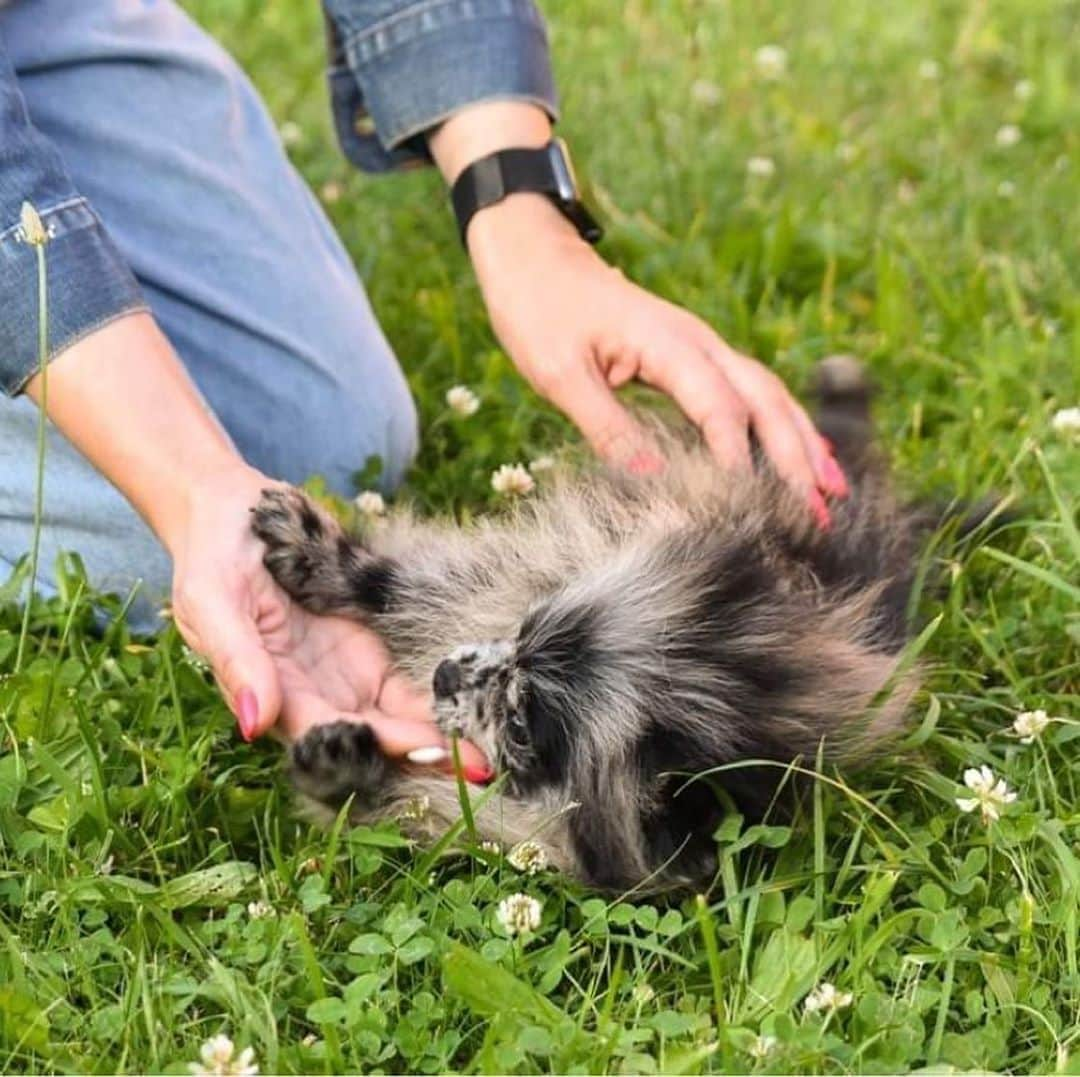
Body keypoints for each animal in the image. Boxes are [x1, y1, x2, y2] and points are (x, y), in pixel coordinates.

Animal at [254, 356, 937, 885]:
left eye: (521, 728)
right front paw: (320, 556)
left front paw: (345, 774)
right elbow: (405, 582)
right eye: (523, 628)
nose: (444, 675)